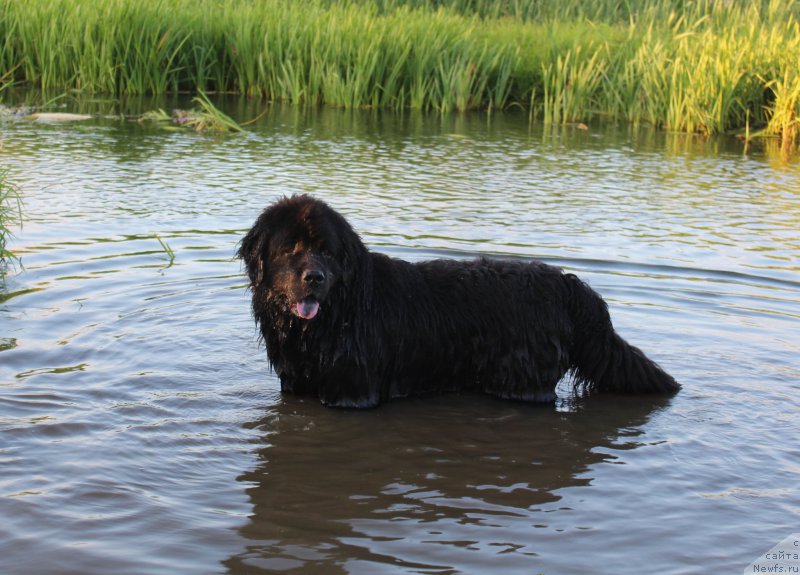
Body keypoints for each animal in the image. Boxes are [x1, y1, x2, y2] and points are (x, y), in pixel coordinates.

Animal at [239, 196, 680, 408]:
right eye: (289, 247)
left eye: (327, 252)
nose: (314, 278)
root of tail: (567, 284)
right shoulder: (294, 384)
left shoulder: (352, 391)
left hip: (522, 378)